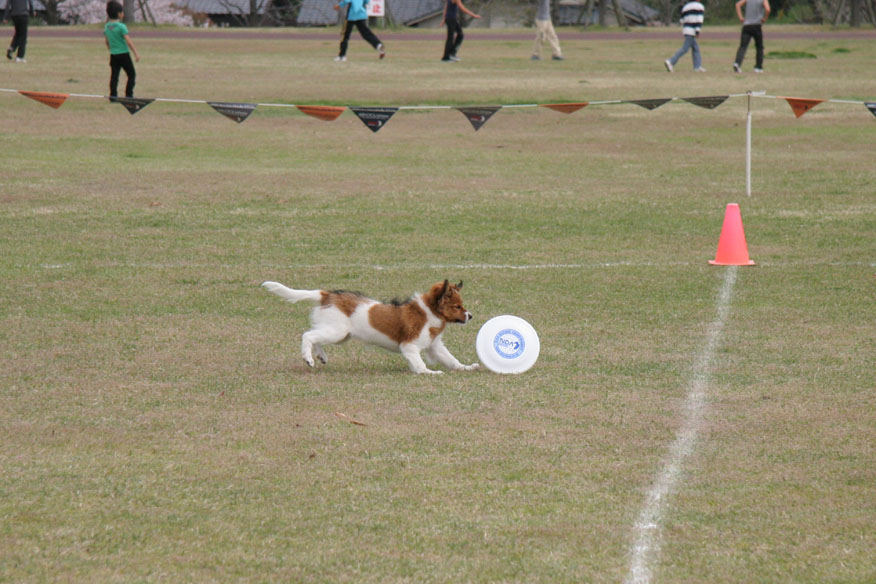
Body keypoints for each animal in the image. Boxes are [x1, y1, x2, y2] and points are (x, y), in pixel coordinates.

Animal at [262, 282, 480, 374]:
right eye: (457, 307)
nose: (470, 316)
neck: (428, 312)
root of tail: (328, 295)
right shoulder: (410, 346)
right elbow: (419, 364)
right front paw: (429, 373)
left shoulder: (435, 346)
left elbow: (451, 360)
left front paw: (466, 367)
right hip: (337, 332)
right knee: (307, 335)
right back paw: (308, 358)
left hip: (339, 335)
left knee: (315, 337)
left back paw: (321, 356)